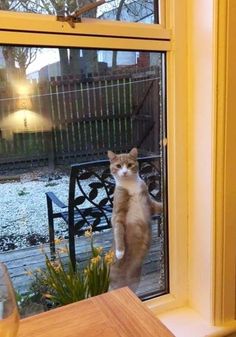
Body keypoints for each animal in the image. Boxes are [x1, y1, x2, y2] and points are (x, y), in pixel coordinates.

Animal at [107, 148, 161, 290]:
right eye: (118, 166)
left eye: (130, 165)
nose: (125, 172)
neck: (131, 186)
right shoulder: (117, 215)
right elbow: (118, 231)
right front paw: (120, 252)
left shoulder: (149, 204)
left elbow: (160, 206)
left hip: (135, 282)